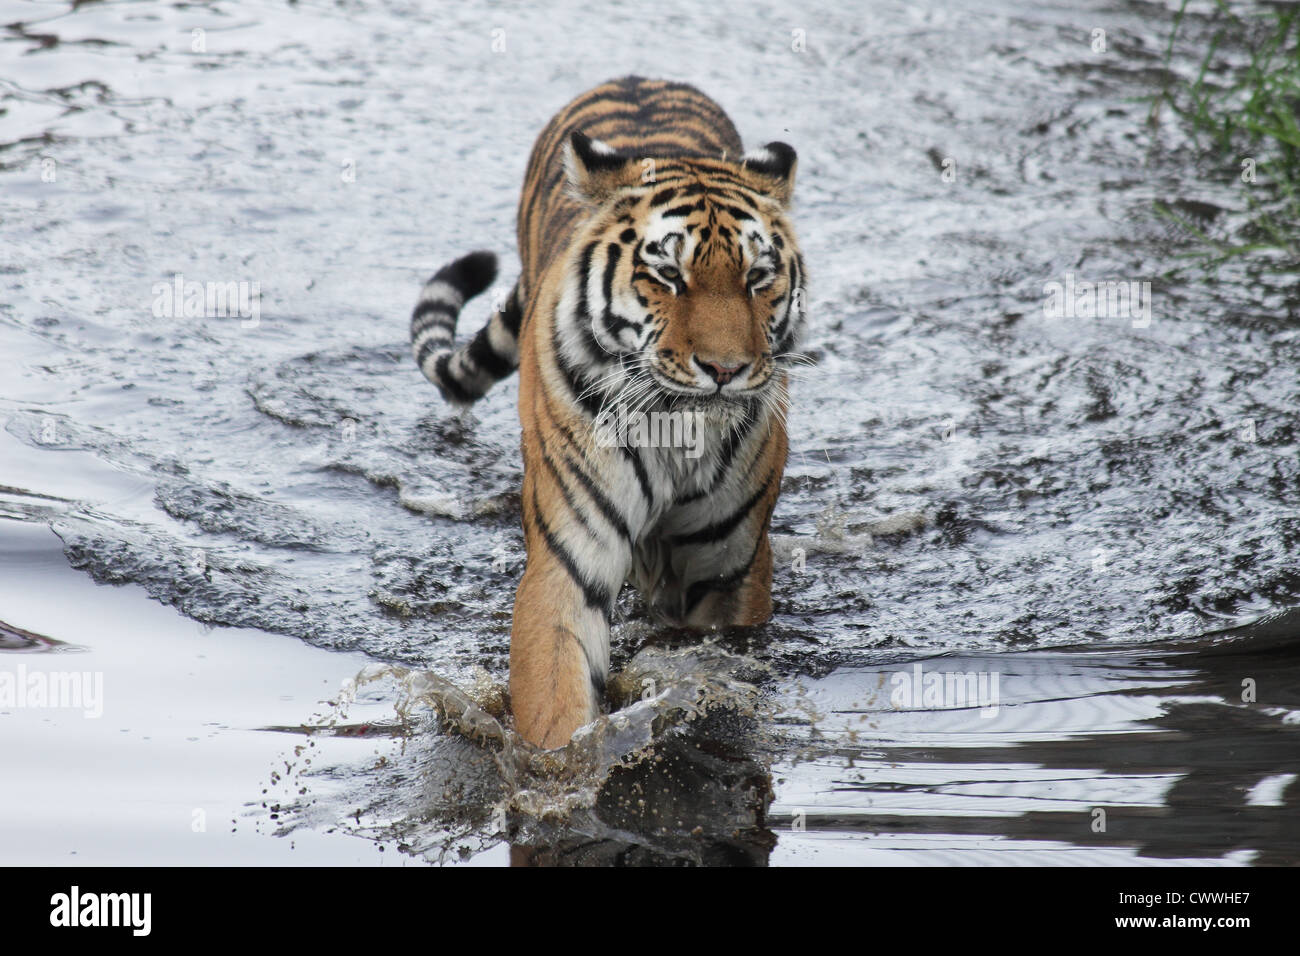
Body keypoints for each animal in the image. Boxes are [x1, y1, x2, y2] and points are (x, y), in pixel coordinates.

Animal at [410, 76, 806, 749]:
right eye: (668, 275)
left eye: (758, 277)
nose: (725, 369)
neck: (677, 429)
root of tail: (640, 78)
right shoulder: (569, 559)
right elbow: (555, 700)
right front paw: (559, 768)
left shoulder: (730, 573)